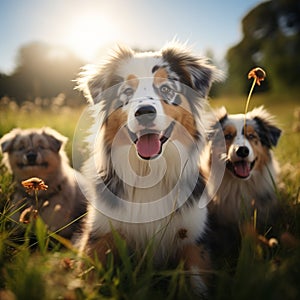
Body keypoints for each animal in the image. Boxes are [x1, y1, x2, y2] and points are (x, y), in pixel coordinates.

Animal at [75, 42, 220, 296]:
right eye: (126, 91)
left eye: (166, 88)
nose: (144, 113)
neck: (148, 170)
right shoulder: (98, 235)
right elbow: (86, 277)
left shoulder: (196, 239)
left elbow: (197, 283)